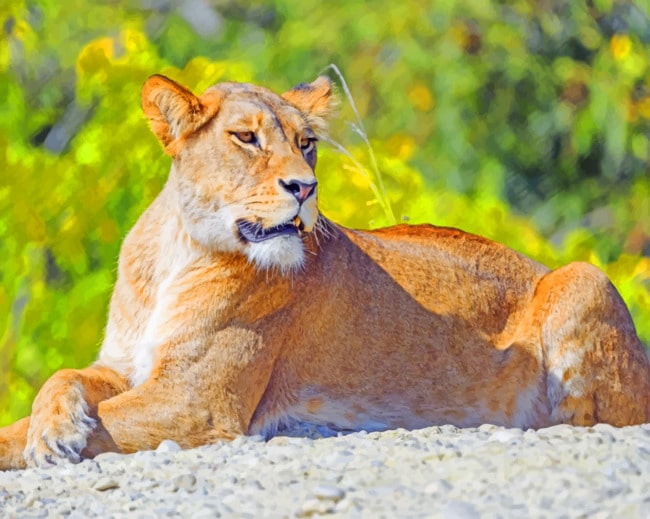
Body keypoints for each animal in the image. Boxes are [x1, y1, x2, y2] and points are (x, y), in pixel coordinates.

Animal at [1, 74, 649, 471]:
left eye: (306, 142)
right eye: (246, 137)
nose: (305, 187)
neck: (178, 251)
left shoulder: (195, 402)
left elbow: (37, 425)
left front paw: (44, 439)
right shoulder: (124, 364)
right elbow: (57, 380)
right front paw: (54, 428)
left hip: (583, 278)